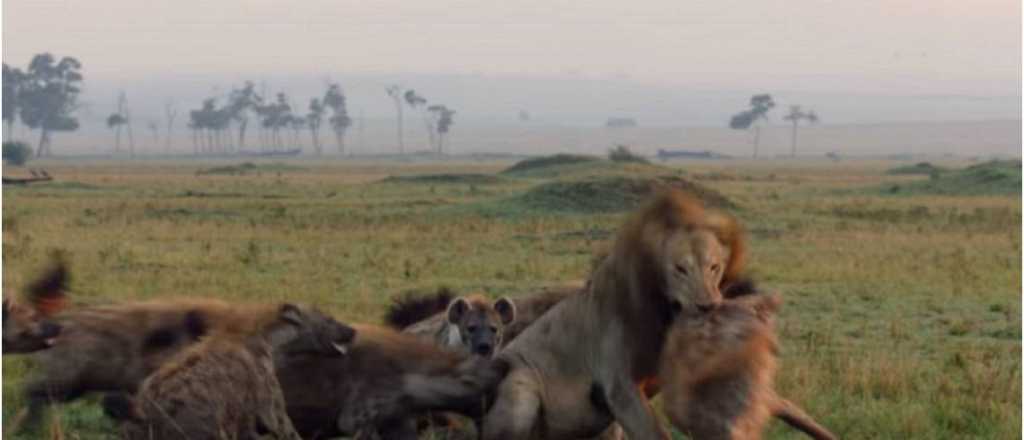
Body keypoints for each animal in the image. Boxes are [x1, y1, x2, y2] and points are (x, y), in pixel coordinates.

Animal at [479, 190, 737, 440]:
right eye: (680, 269)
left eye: (714, 267)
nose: (708, 306)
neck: (664, 314)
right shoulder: (619, 386)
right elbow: (654, 432)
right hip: (521, 384)